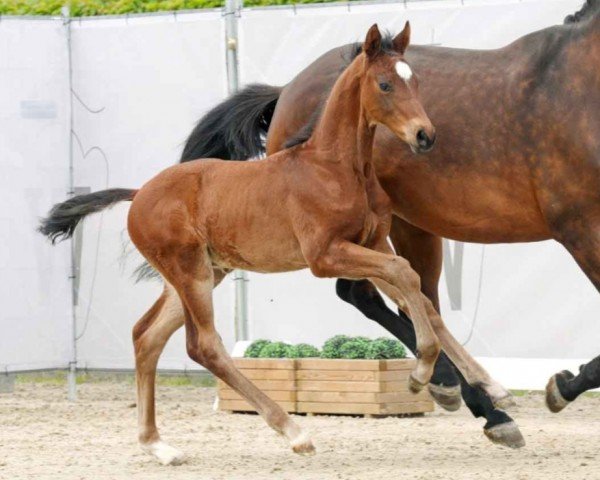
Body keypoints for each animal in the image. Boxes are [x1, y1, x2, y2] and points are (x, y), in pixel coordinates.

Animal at [41, 23, 510, 464]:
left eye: (416, 82)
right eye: (384, 84)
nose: (424, 136)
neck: (337, 167)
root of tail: (138, 194)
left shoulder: (374, 244)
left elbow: (419, 297)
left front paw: (491, 385)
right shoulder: (325, 255)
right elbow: (407, 278)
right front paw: (423, 373)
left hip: (204, 273)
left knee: (147, 336)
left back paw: (158, 446)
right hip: (190, 273)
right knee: (203, 345)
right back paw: (294, 432)